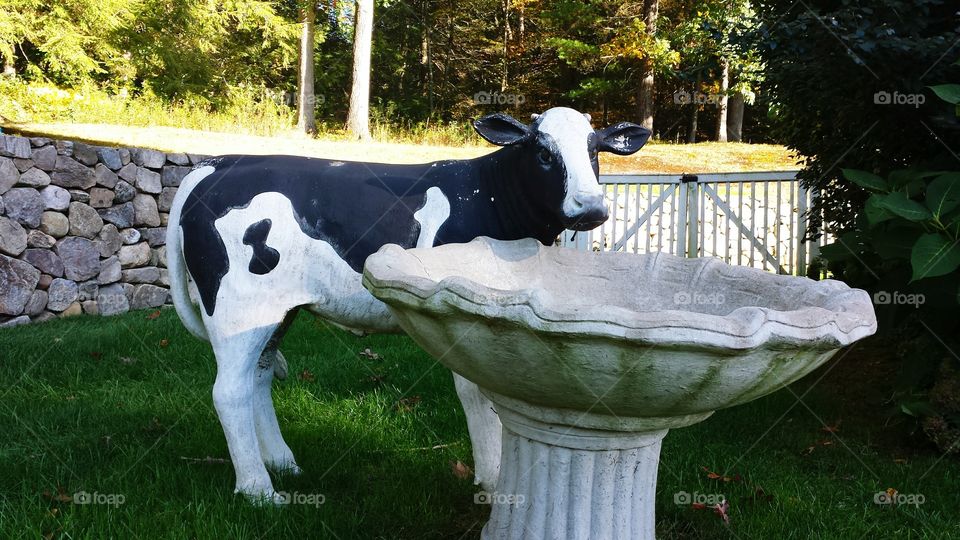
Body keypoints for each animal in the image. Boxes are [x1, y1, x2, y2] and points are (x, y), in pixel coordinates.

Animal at [165, 107, 651, 502]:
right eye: (544, 153)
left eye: (594, 150)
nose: (590, 207)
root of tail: (215, 164)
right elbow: (478, 396)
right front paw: (494, 483)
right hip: (238, 309)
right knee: (229, 392)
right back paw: (259, 490)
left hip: (276, 311)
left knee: (259, 378)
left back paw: (283, 464)